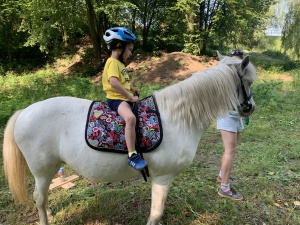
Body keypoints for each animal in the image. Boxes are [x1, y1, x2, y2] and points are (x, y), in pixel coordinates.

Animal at [2, 51, 256, 224]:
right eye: (249, 81)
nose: (250, 108)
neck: (178, 117)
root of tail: (24, 112)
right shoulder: (163, 177)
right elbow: (156, 213)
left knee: (42, 198)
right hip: (42, 169)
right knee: (39, 197)